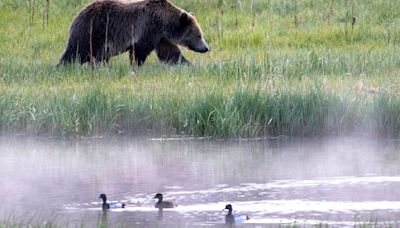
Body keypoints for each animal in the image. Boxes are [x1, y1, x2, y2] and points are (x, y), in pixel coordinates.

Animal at [60, 0, 209, 66]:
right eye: (199, 35)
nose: (206, 48)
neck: (163, 23)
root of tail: (77, 15)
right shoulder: (146, 29)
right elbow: (138, 52)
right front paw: (136, 65)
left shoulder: (160, 38)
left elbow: (170, 53)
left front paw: (187, 63)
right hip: (93, 31)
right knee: (77, 51)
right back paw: (64, 66)